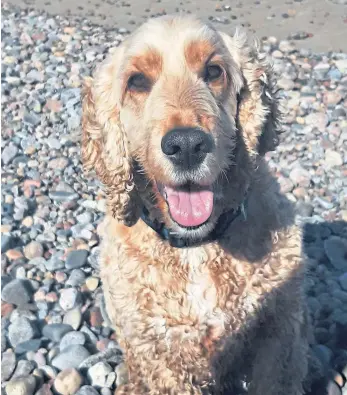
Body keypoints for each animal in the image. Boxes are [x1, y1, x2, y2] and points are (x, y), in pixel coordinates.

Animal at [81, 14, 320, 395]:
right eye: (137, 81)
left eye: (213, 71)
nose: (187, 145)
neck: (197, 247)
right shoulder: (163, 358)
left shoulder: (277, 334)